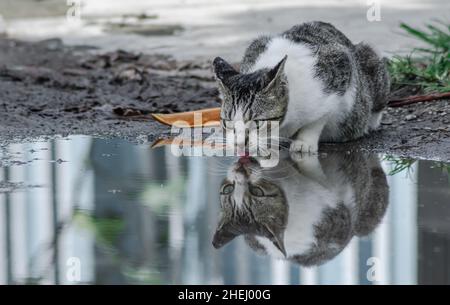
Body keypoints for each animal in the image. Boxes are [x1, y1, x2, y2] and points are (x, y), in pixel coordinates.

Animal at [213, 20, 388, 152]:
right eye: (227, 121)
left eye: (258, 122)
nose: (239, 143)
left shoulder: (341, 69)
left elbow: (318, 119)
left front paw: (304, 143)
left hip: (371, 61)